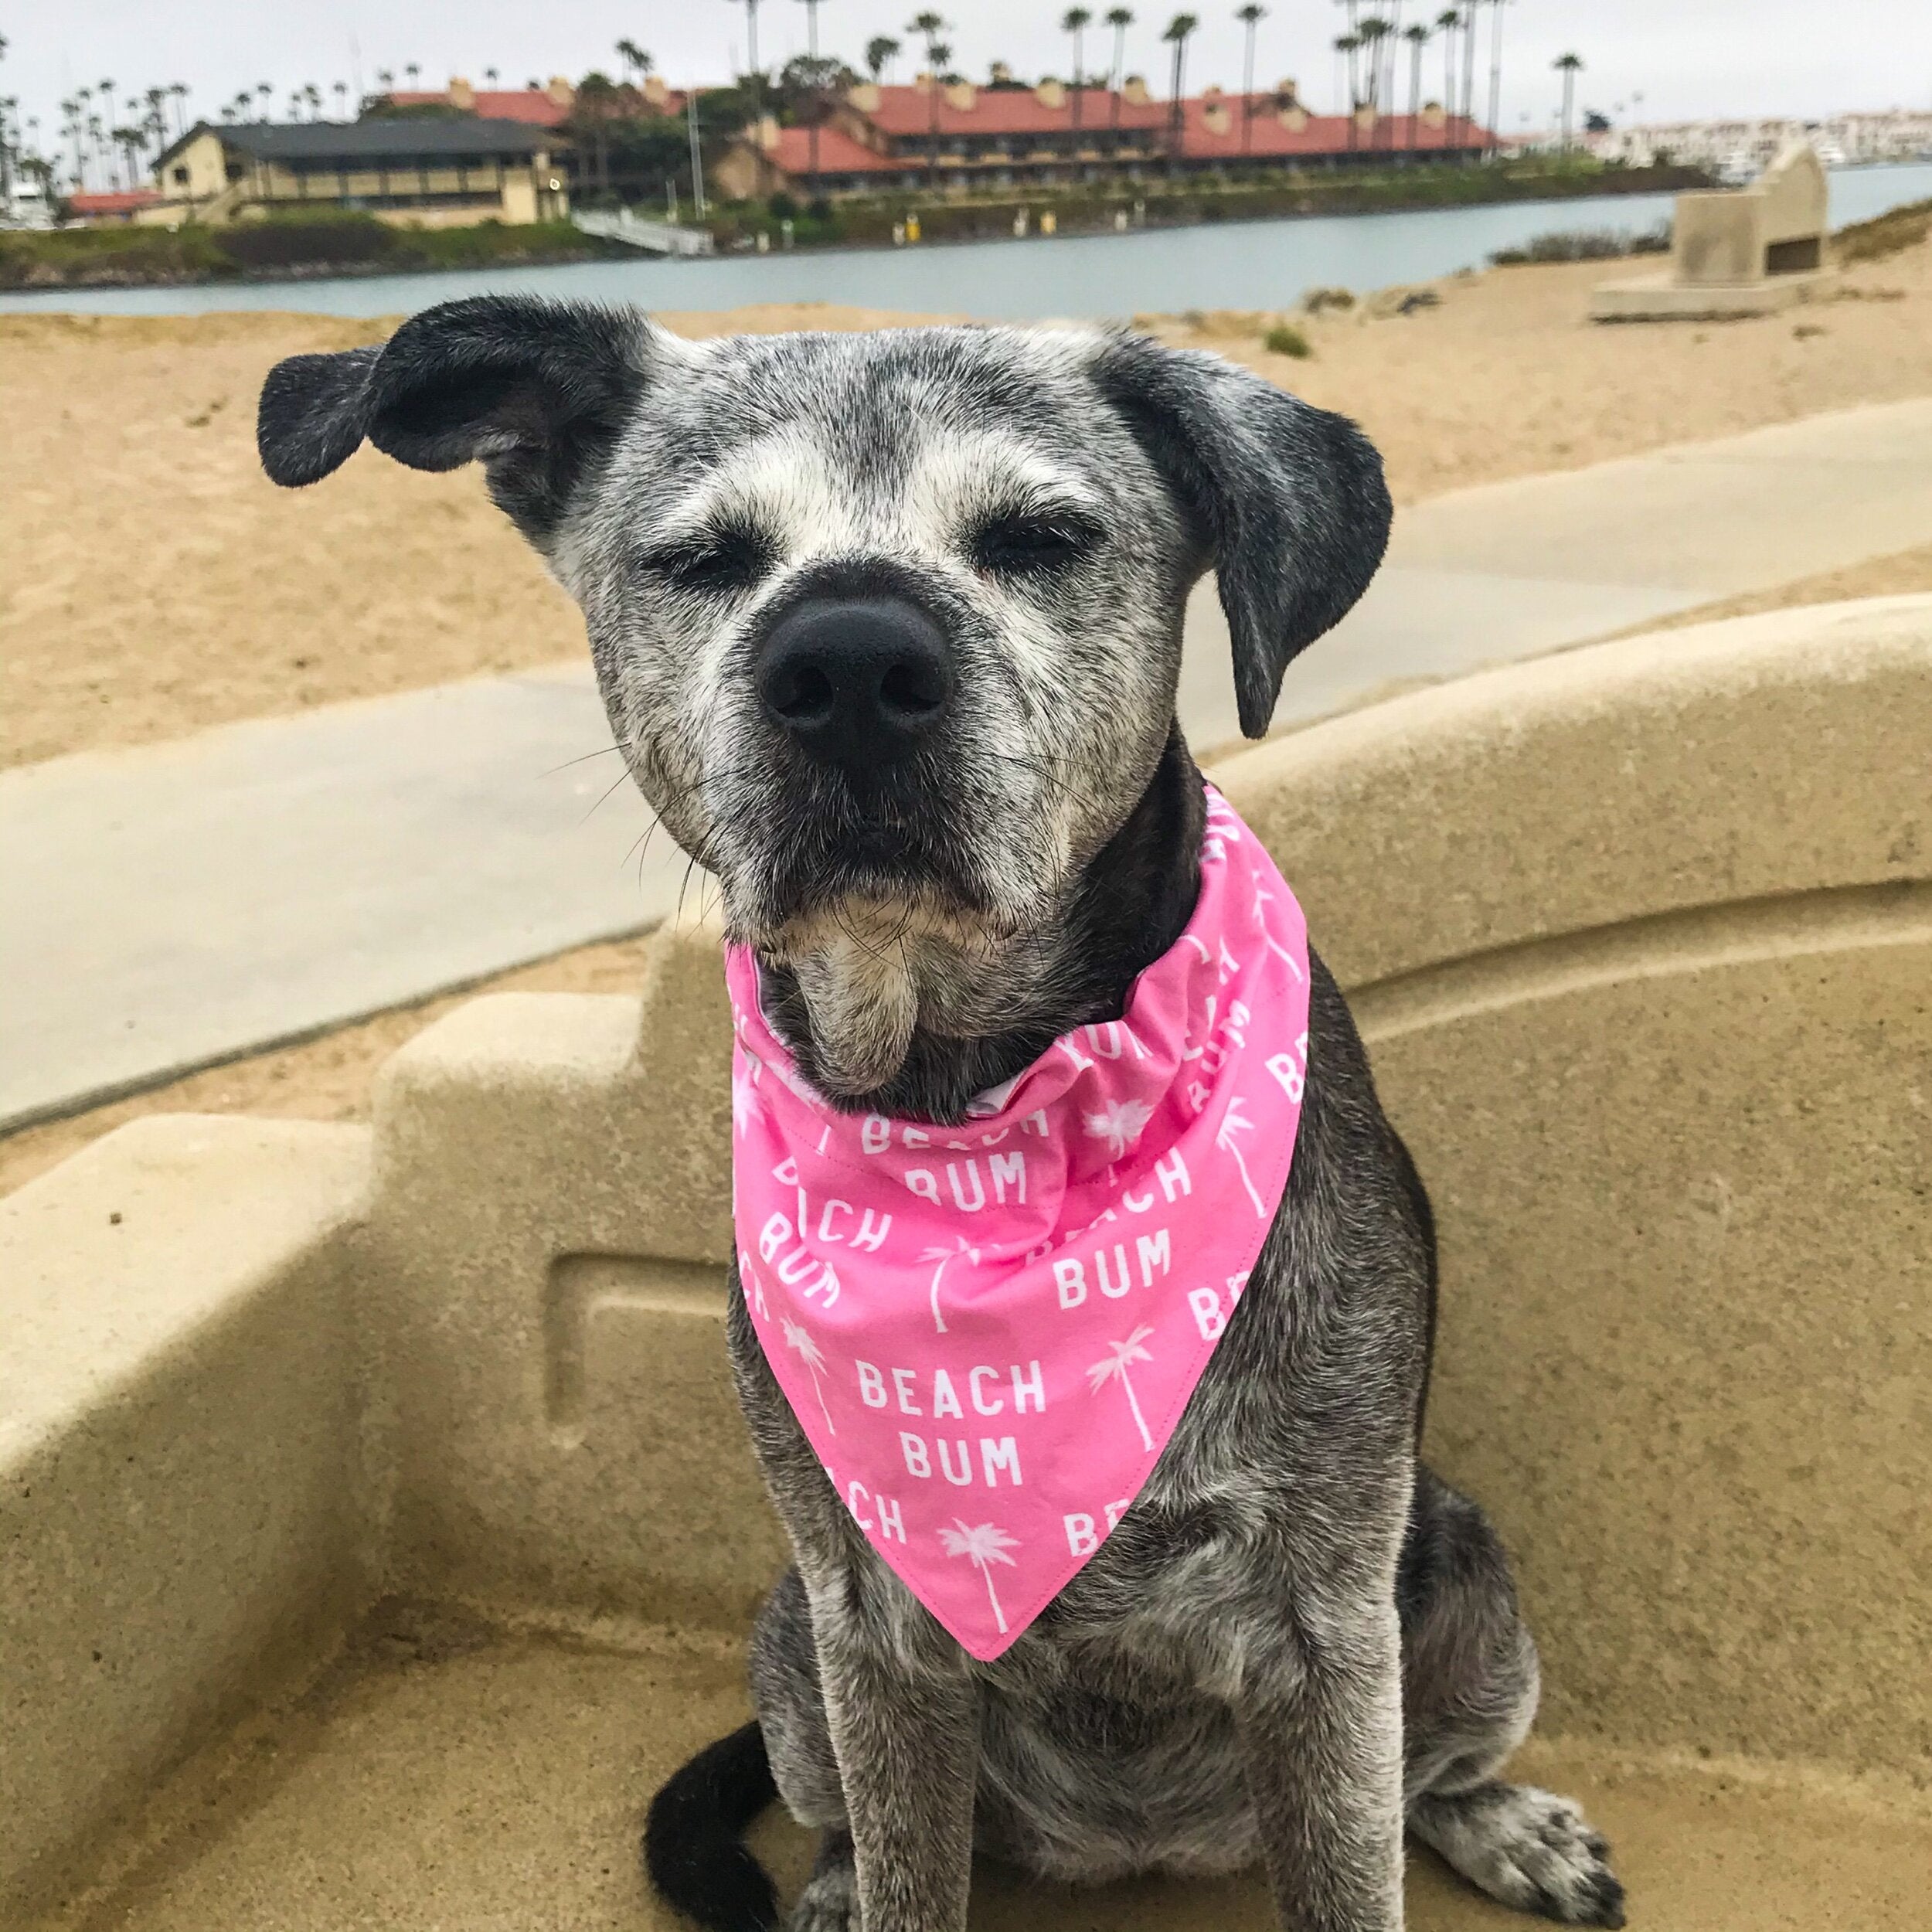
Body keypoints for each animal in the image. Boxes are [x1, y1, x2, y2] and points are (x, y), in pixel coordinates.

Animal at [253, 294, 1615, 1924]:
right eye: (703, 558)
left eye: (1039, 535)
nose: (846, 660)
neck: (970, 1105)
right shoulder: (871, 1625)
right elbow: (909, 1857)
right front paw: (868, 1882)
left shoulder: (1330, 1622)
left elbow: (1357, 1850)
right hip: (789, 1645)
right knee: (847, 1815)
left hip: (1467, 1576)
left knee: (1434, 1775)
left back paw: (1509, 1824)